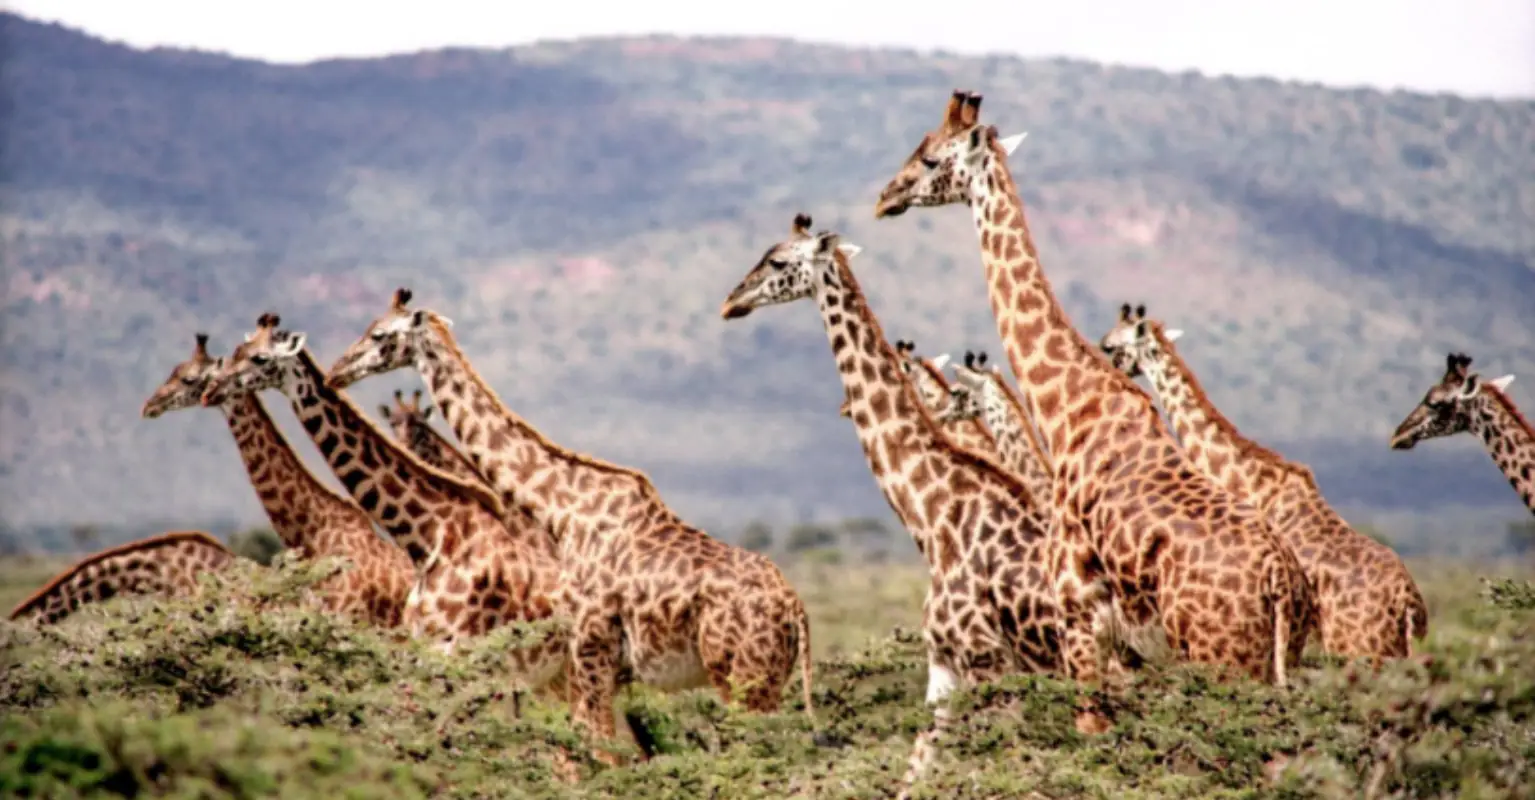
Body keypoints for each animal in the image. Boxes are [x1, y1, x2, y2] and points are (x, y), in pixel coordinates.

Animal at [323, 288, 815, 760]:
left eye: (380, 335)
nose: (336, 372)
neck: (564, 511)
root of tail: (795, 610)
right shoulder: (597, 664)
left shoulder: (591, 649)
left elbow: (598, 750)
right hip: (765, 678)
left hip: (739, 675)